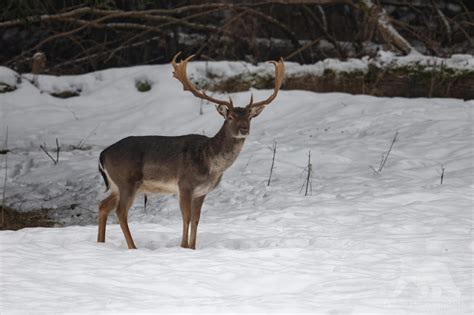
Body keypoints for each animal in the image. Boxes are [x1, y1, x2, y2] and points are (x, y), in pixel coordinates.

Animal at [95, 52, 282, 249]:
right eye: (230, 116)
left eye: (249, 117)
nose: (244, 129)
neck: (210, 163)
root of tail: (103, 154)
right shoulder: (185, 184)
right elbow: (186, 217)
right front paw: (183, 246)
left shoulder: (201, 192)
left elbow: (197, 219)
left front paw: (192, 247)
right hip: (127, 181)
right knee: (120, 211)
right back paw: (133, 247)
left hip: (117, 185)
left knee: (103, 205)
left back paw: (100, 243)